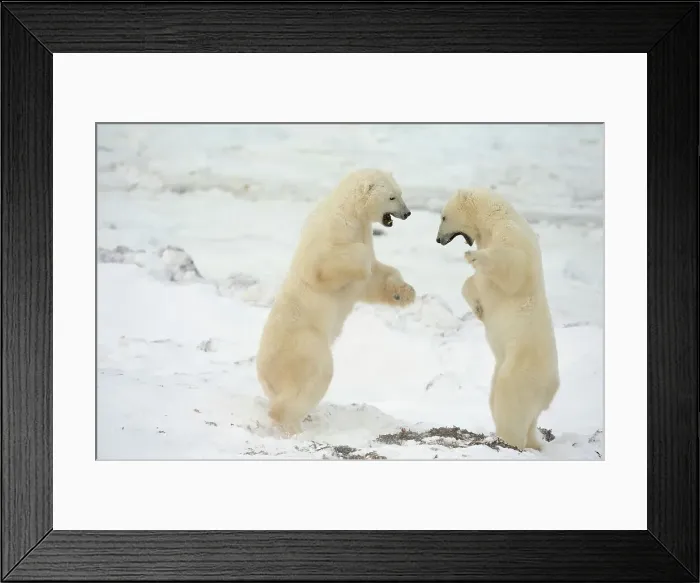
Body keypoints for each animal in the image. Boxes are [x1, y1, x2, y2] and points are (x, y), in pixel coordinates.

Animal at [256, 169, 416, 435]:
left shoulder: (361, 233)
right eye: (393, 197)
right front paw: (361, 259)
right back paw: (291, 423)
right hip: (306, 345)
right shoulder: (331, 234)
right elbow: (325, 265)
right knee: (315, 377)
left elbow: (374, 278)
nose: (407, 213)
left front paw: (405, 293)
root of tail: (264, 373)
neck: (350, 212)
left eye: (400, 192)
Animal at [435, 187, 560, 451]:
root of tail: (551, 389)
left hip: (521, 364)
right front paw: (478, 308)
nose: (438, 239)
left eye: (443, 217)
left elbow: (514, 268)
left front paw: (473, 256)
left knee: (509, 398)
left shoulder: (513, 237)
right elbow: (472, 283)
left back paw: (508, 440)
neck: (493, 220)